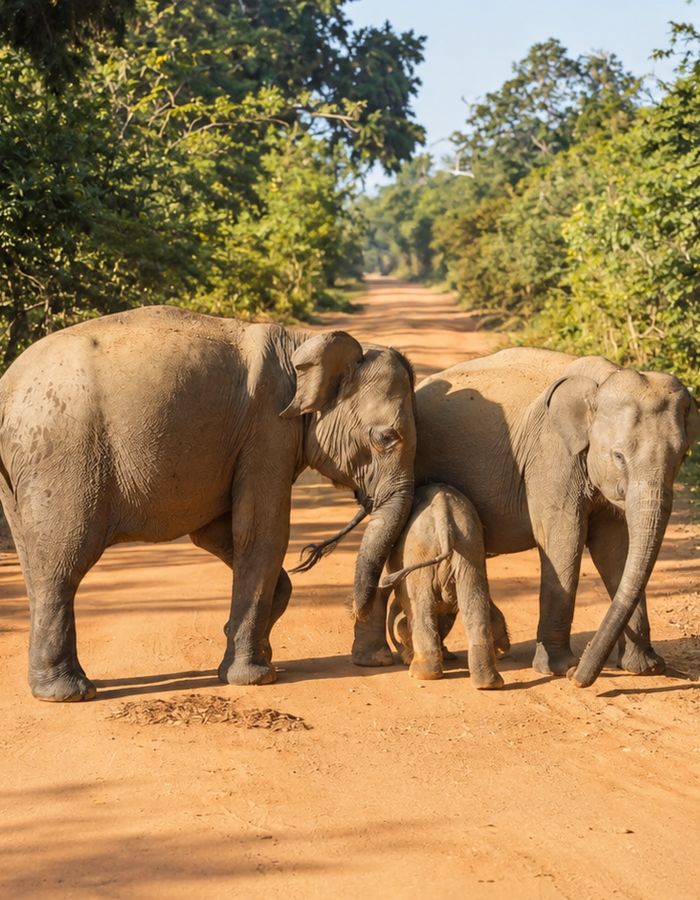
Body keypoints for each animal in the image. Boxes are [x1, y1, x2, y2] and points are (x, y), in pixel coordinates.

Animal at [0, 305, 416, 701]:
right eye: (386, 437)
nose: (357, 611)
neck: (303, 342)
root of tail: (6, 389)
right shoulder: (267, 430)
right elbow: (260, 532)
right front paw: (256, 677)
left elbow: (214, 534)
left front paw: (251, 649)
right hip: (63, 458)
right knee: (63, 561)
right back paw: (70, 693)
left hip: (19, 474)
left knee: (35, 563)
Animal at [382, 483, 509, 688]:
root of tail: (444, 514)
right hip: (468, 544)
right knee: (472, 599)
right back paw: (488, 683)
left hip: (420, 550)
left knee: (420, 604)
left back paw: (420, 673)